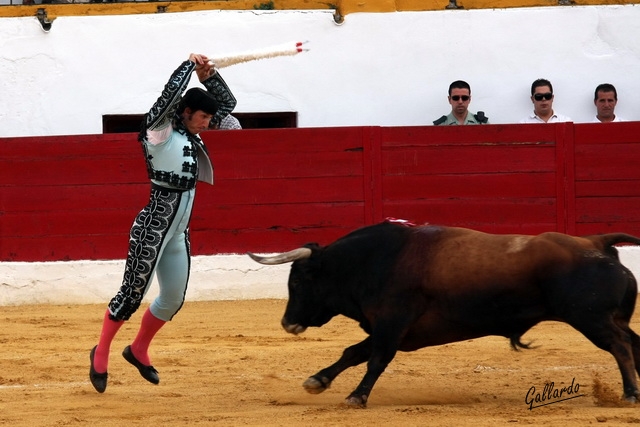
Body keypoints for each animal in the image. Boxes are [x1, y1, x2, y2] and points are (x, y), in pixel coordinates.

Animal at [248, 221, 640, 408]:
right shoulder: (392, 328)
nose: (287, 323)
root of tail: (596, 242)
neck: (375, 261)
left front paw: (356, 397)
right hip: (609, 318)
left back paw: (629, 394)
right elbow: (353, 352)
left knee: (620, 347)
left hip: (591, 319)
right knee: (633, 343)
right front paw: (317, 381)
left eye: (299, 280)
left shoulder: (391, 324)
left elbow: (375, 359)